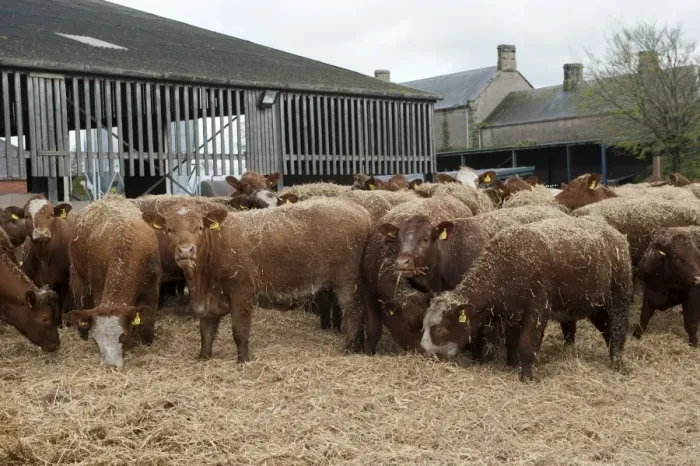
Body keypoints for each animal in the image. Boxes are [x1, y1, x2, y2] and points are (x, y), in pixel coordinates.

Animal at [67, 195, 161, 368]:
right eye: (96, 340)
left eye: (122, 335)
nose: (111, 366)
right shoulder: (97, 289)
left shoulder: (153, 290)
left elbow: (148, 322)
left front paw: (147, 342)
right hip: (78, 276)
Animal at [142, 197, 373, 361]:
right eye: (169, 229)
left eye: (199, 227)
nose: (186, 251)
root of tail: (359, 210)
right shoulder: (207, 301)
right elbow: (206, 332)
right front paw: (203, 357)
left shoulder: (242, 292)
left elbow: (240, 331)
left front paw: (243, 360)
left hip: (348, 281)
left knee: (354, 311)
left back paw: (348, 348)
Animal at [420, 216, 632, 382]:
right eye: (424, 325)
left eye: (438, 328)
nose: (423, 351)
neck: (508, 266)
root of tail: (615, 235)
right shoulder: (512, 314)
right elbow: (512, 342)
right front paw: (513, 364)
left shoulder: (537, 310)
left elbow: (526, 343)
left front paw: (526, 376)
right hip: (596, 305)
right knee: (607, 330)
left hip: (619, 298)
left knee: (618, 329)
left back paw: (618, 364)